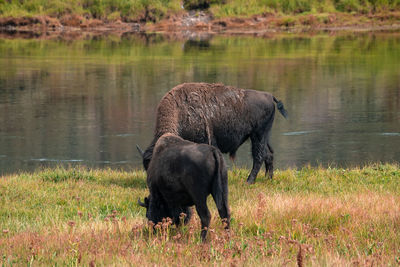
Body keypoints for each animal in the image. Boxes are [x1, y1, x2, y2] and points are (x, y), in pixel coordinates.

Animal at [139, 82, 286, 185]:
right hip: (263, 137)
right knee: (268, 155)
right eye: (146, 167)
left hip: (258, 135)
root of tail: (269, 96)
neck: (178, 111)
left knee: (258, 157)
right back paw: (268, 178)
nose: (151, 184)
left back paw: (249, 181)